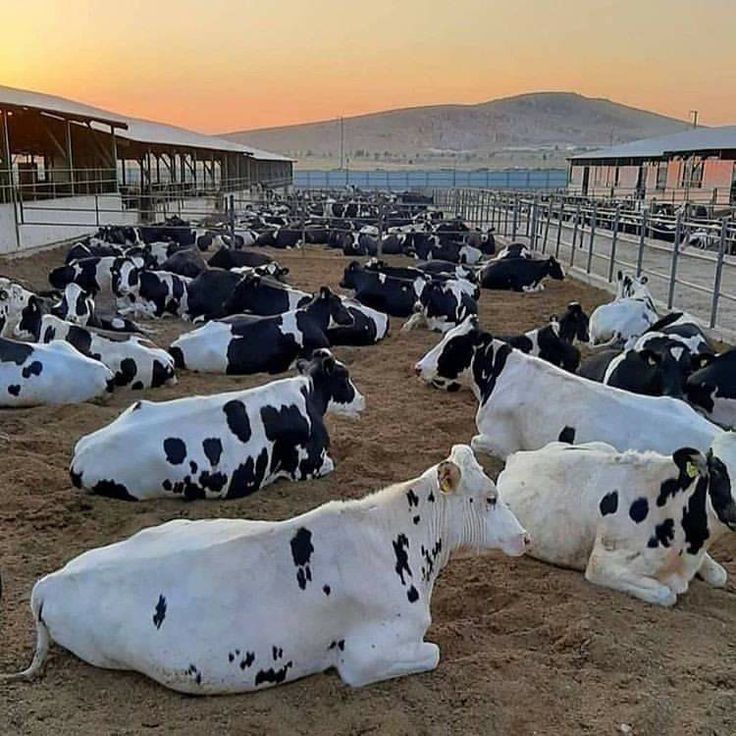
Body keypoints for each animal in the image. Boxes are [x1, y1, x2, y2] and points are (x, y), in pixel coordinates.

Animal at [1, 446, 528, 692]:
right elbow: (435, 651)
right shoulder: (364, 657)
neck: (396, 541)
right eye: (490, 498)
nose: (525, 537)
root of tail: (50, 580)